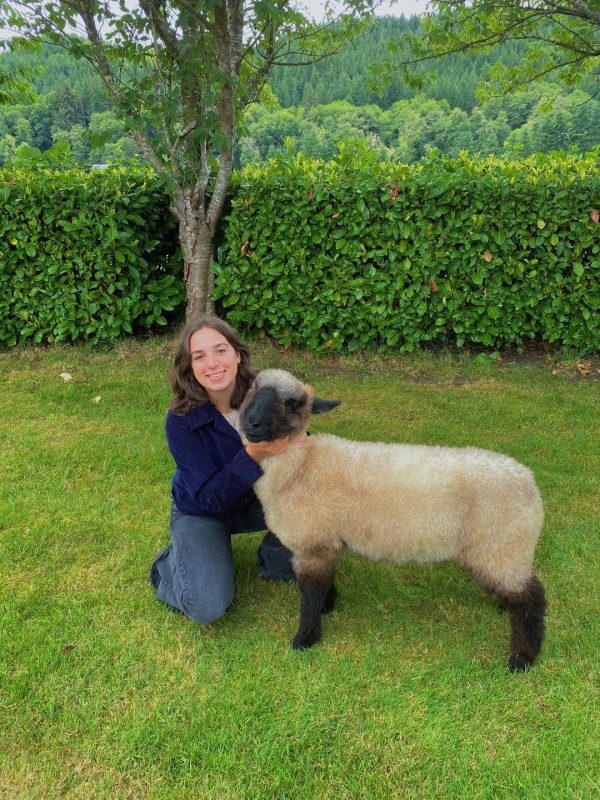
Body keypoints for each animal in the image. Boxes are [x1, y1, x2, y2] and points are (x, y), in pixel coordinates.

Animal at [237, 368, 548, 668]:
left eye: (292, 403)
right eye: (253, 388)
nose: (252, 423)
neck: (302, 465)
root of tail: (530, 483)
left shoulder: (312, 545)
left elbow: (310, 596)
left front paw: (305, 640)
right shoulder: (326, 543)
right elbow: (323, 586)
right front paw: (328, 607)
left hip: (501, 546)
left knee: (531, 599)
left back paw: (522, 659)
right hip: (502, 550)